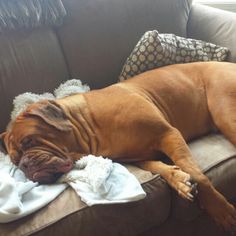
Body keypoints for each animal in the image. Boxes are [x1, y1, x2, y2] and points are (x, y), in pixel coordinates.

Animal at [0, 61, 236, 230]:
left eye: (29, 140)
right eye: (15, 160)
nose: (25, 164)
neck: (88, 126)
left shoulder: (168, 134)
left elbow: (197, 173)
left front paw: (219, 209)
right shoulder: (141, 156)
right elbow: (159, 167)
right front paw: (178, 179)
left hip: (225, 114)